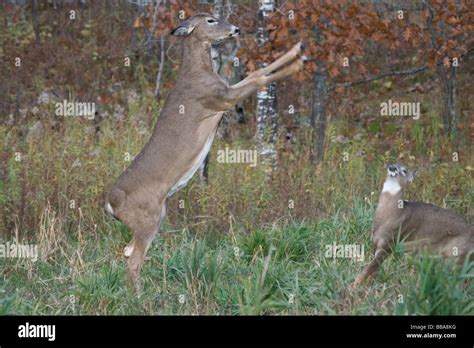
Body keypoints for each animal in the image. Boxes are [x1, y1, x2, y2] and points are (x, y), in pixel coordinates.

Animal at [105, 12, 306, 294]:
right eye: (210, 20)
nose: (236, 29)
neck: (199, 71)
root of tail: (110, 204)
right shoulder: (219, 97)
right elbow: (258, 76)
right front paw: (298, 61)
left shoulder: (224, 92)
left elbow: (257, 71)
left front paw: (298, 51)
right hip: (147, 217)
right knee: (133, 261)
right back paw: (141, 298)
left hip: (158, 216)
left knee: (126, 251)